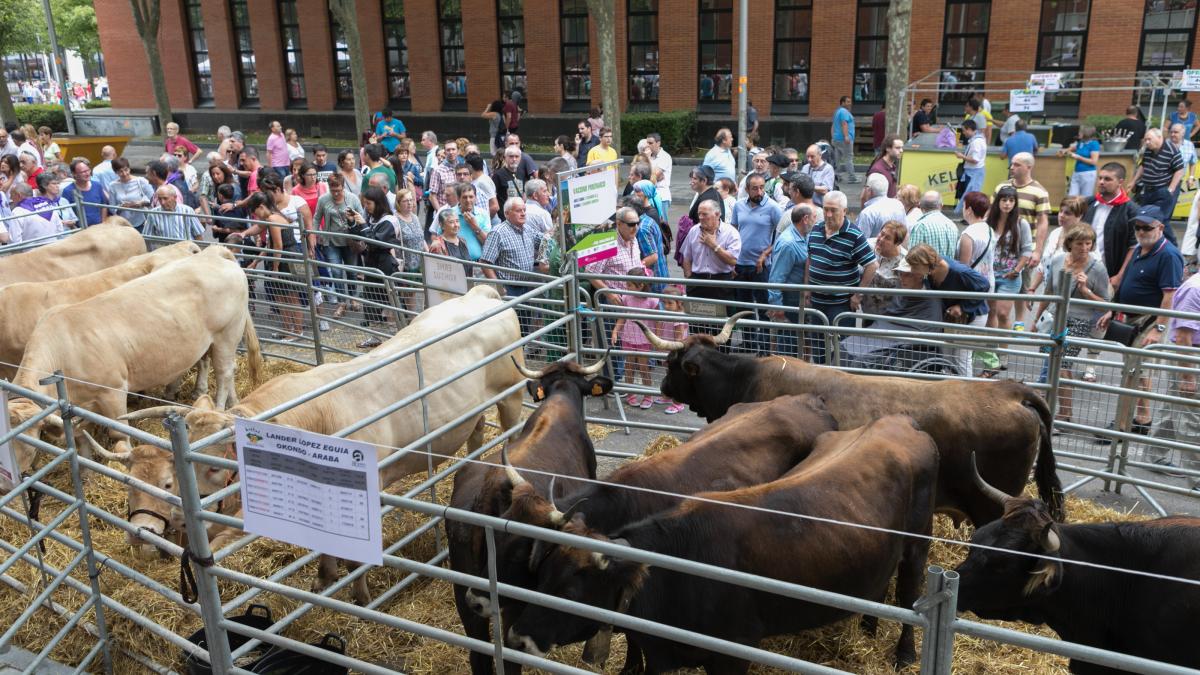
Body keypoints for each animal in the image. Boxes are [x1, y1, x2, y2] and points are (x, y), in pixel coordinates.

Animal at [506, 413, 936, 667]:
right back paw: (867, 628)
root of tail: (898, 421)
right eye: (541, 576)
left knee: (909, 594)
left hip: (918, 545)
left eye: (570, 591)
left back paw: (904, 654)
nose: (517, 638)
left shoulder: (734, 652)